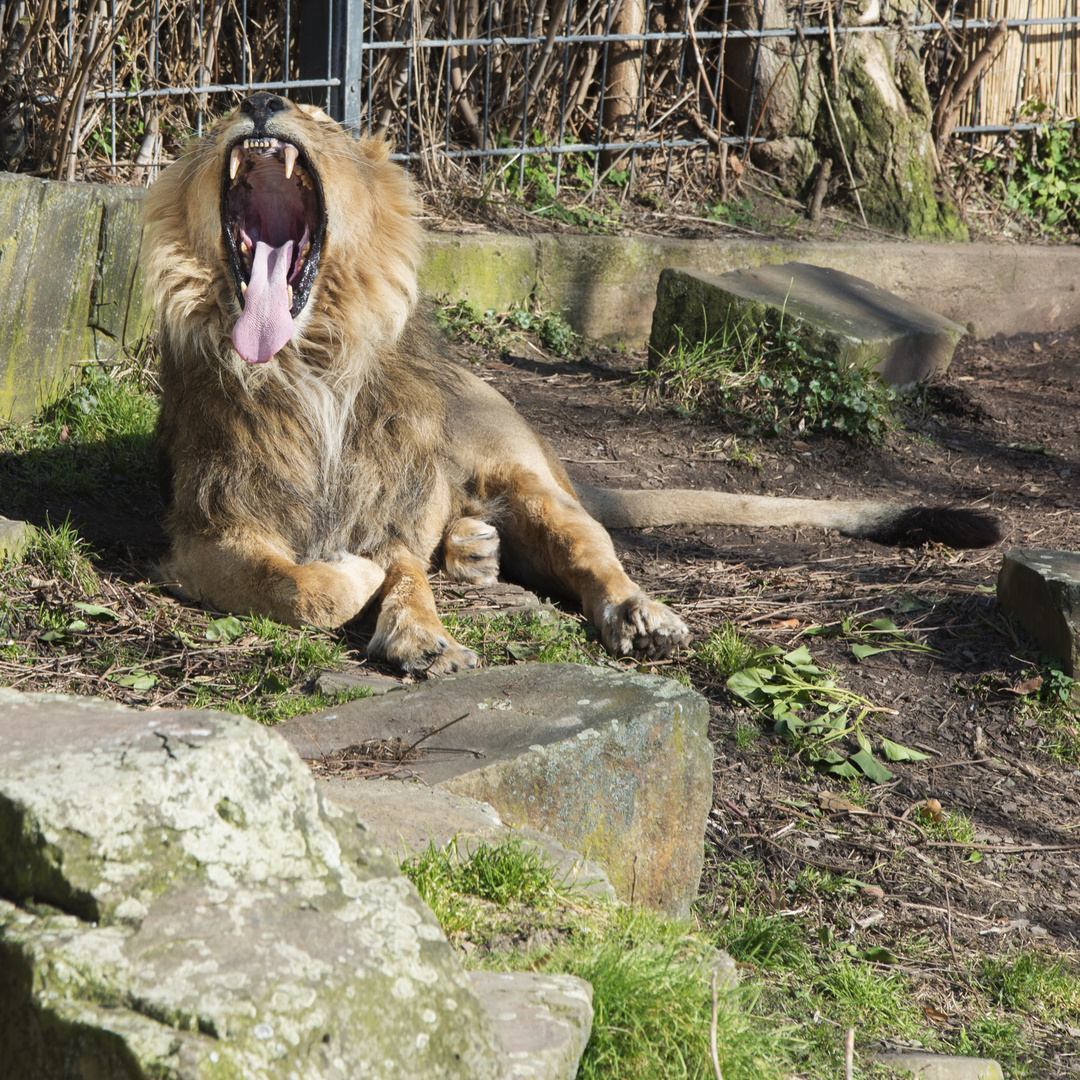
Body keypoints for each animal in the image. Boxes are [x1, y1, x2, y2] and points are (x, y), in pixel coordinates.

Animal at [141, 99, 993, 673]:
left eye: (320, 116)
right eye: (227, 108)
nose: (261, 102)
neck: (312, 364)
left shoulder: (394, 512)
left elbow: (402, 573)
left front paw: (421, 633)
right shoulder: (204, 534)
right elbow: (295, 585)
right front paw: (363, 585)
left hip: (532, 479)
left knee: (594, 553)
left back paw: (637, 614)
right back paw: (476, 550)